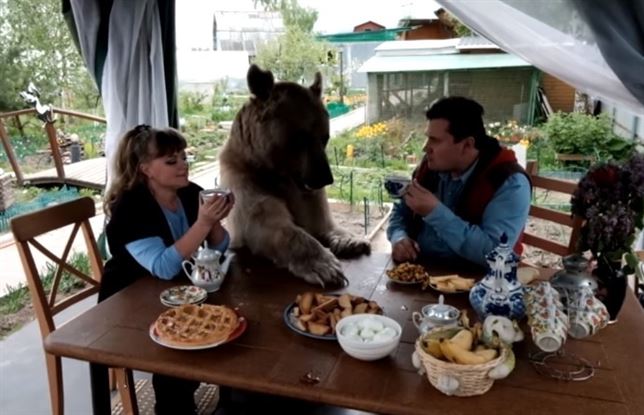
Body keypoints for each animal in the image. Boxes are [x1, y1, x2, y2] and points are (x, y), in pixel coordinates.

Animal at [218, 65, 371, 287]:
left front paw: (352, 240)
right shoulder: (245, 179)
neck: (280, 174)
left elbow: (319, 218)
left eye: (324, 137)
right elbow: (266, 221)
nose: (325, 178)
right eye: (300, 138)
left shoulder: (306, 191)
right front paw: (325, 266)